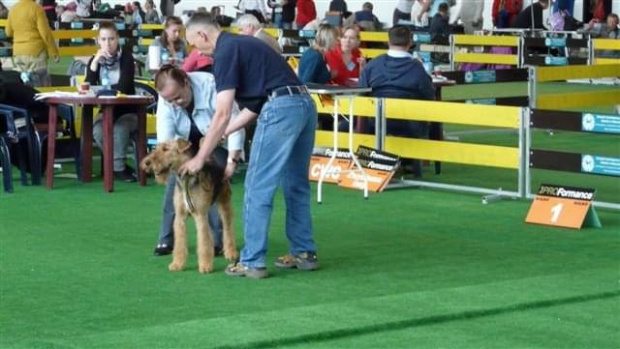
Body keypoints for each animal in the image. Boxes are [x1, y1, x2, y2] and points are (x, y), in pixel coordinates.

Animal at [142, 139, 239, 272]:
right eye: (156, 148)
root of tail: (213, 162)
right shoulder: (179, 217)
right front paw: (177, 264)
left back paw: (231, 253)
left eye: (166, 149)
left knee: (228, 229)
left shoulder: (200, 216)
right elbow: (179, 243)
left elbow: (203, 242)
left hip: (224, 204)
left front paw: (205, 266)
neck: (186, 179)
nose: (147, 163)